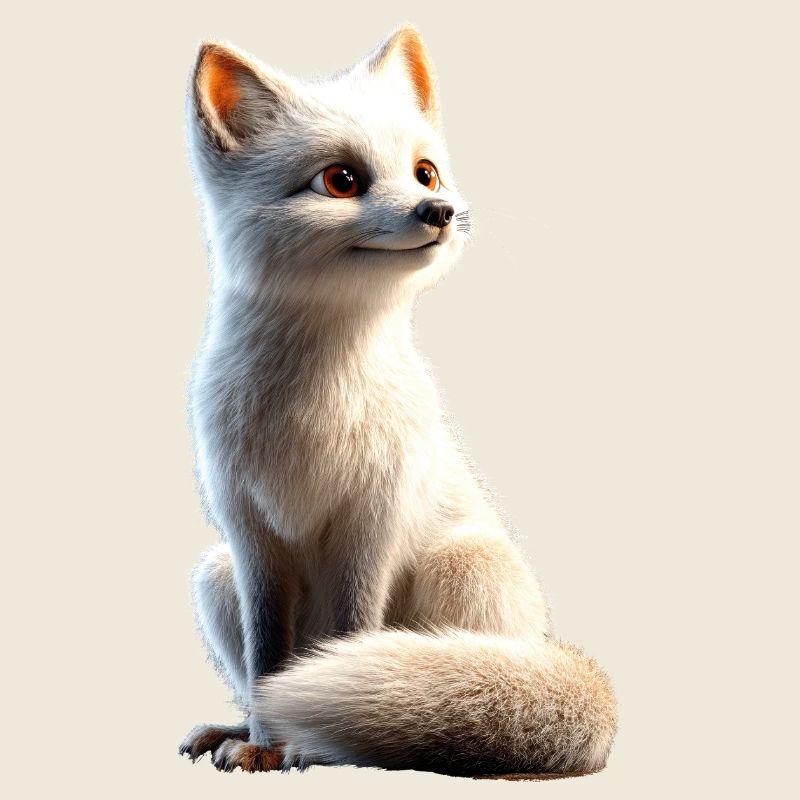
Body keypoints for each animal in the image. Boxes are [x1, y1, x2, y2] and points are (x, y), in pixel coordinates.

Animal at [179, 24, 617, 778]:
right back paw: (238, 728)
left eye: (425, 172)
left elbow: (353, 634)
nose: (437, 212)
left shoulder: (374, 516)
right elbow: (269, 662)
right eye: (341, 180)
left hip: (461, 564)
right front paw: (264, 741)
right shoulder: (251, 534)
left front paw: (312, 748)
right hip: (215, 575)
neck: (313, 408)